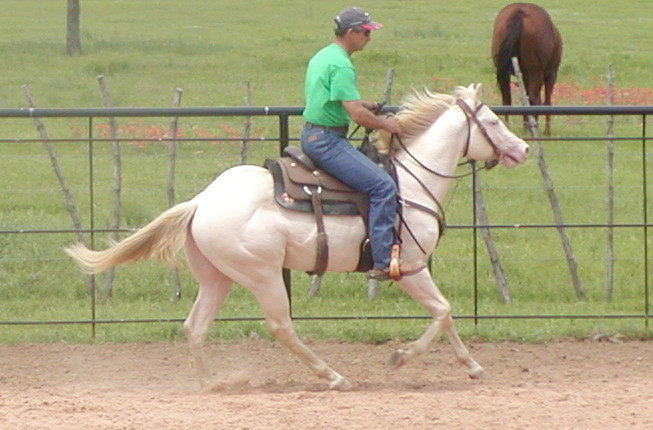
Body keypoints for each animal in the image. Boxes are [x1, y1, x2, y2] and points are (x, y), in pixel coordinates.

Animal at [63, 83, 528, 390]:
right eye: (491, 121)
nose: (522, 149)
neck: (410, 183)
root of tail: (200, 202)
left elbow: (444, 314)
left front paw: (471, 367)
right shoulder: (409, 266)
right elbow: (444, 311)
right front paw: (403, 357)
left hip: (217, 277)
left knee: (195, 326)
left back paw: (214, 384)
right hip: (263, 275)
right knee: (280, 326)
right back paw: (333, 376)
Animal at [492, 2, 564, 134]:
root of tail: (520, 13)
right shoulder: (551, 74)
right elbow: (547, 101)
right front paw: (546, 131)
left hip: (503, 71)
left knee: (507, 99)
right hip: (537, 72)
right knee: (535, 100)